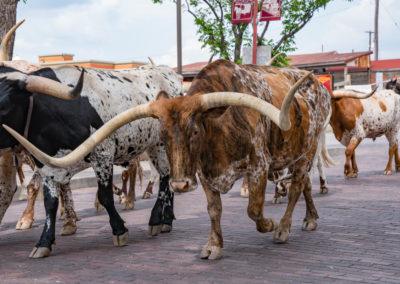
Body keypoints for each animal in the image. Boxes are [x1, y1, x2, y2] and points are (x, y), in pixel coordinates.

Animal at [0, 63, 181, 258]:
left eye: (4, 104)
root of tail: (167, 72)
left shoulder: (103, 155)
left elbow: (105, 196)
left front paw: (120, 231)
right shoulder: (46, 166)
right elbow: (50, 204)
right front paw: (44, 242)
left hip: (162, 143)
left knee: (165, 178)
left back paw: (156, 220)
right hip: (153, 146)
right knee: (168, 177)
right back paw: (167, 220)